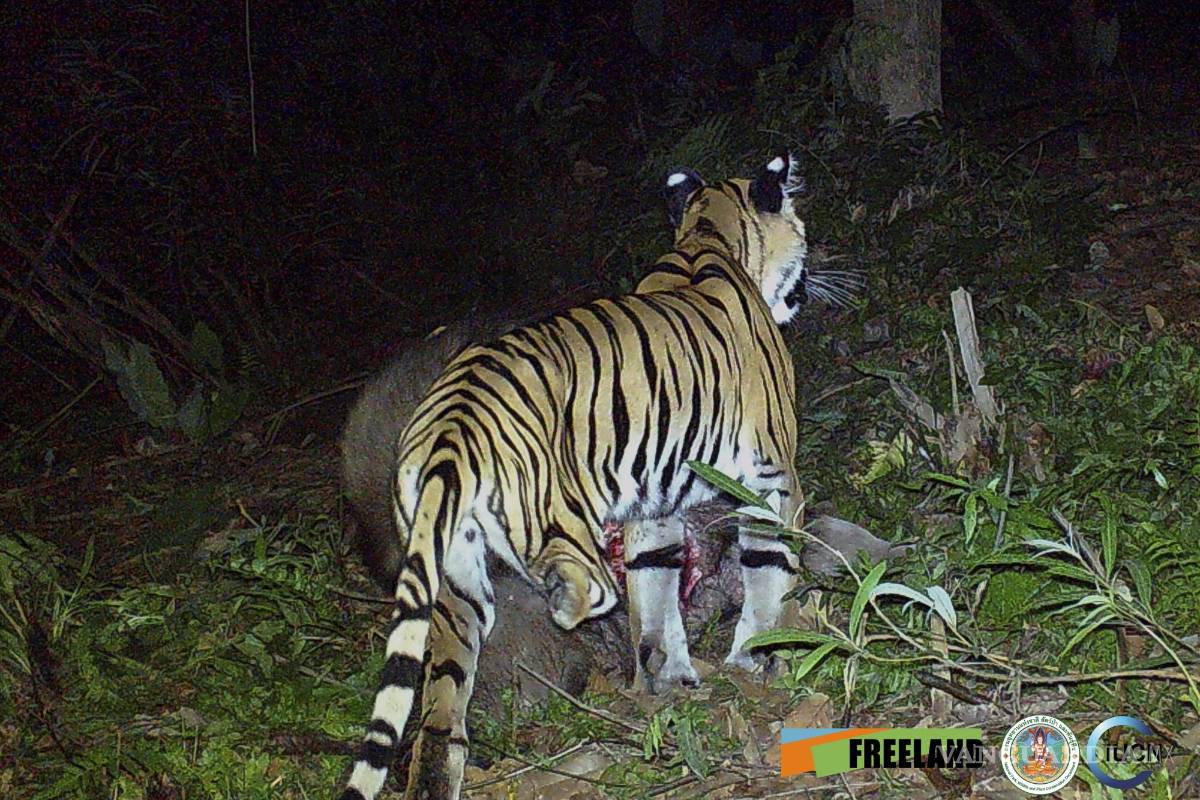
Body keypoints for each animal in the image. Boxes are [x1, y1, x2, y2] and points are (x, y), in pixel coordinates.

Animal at [339, 153, 809, 800]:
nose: (803, 290)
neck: (707, 233)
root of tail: (453, 420)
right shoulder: (772, 476)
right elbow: (767, 572)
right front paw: (758, 660)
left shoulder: (654, 508)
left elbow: (655, 597)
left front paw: (669, 678)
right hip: (555, 526)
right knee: (583, 587)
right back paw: (563, 605)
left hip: (450, 588)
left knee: (440, 719)